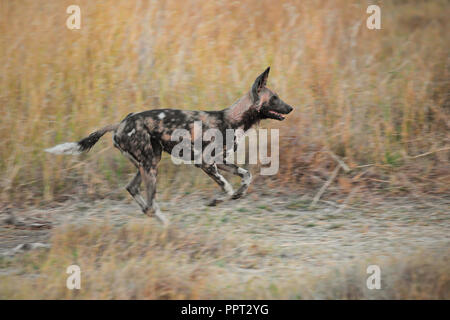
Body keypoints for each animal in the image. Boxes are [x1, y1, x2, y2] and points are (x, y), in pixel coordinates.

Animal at [44, 66, 292, 224]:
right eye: (274, 98)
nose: (291, 108)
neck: (232, 120)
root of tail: (122, 123)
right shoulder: (205, 163)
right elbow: (227, 187)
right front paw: (217, 200)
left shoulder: (221, 162)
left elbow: (246, 176)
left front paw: (236, 196)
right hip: (150, 166)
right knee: (150, 203)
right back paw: (166, 227)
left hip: (149, 162)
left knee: (136, 193)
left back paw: (162, 223)